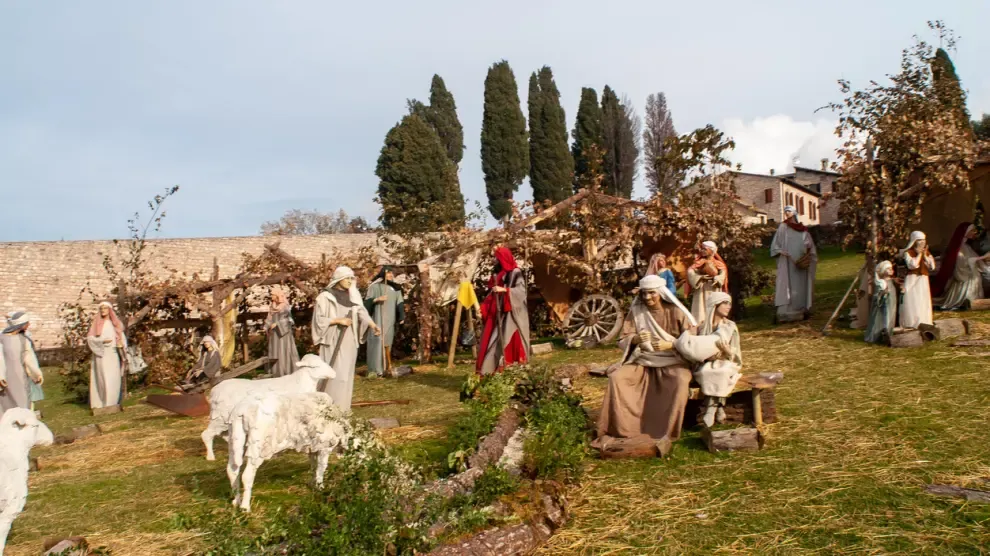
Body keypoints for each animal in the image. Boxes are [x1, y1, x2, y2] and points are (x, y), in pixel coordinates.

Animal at [202, 356, 338, 460]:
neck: (301, 382)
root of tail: (213, 391)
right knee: (206, 435)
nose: (334, 374)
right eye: (315, 366)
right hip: (219, 418)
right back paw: (211, 457)